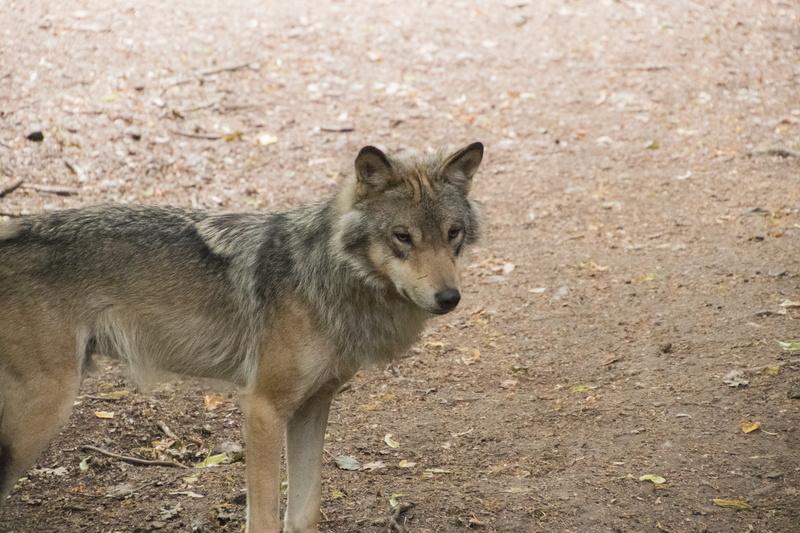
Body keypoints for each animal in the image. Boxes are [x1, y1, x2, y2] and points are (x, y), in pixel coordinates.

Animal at [0, 142, 485, 532]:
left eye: (453, 233)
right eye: (402, 236)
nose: (449, 297)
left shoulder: (312, 407)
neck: (327, 279)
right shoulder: (262, 408)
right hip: (41, 415)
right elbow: (266, 518)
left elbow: (304, 514)